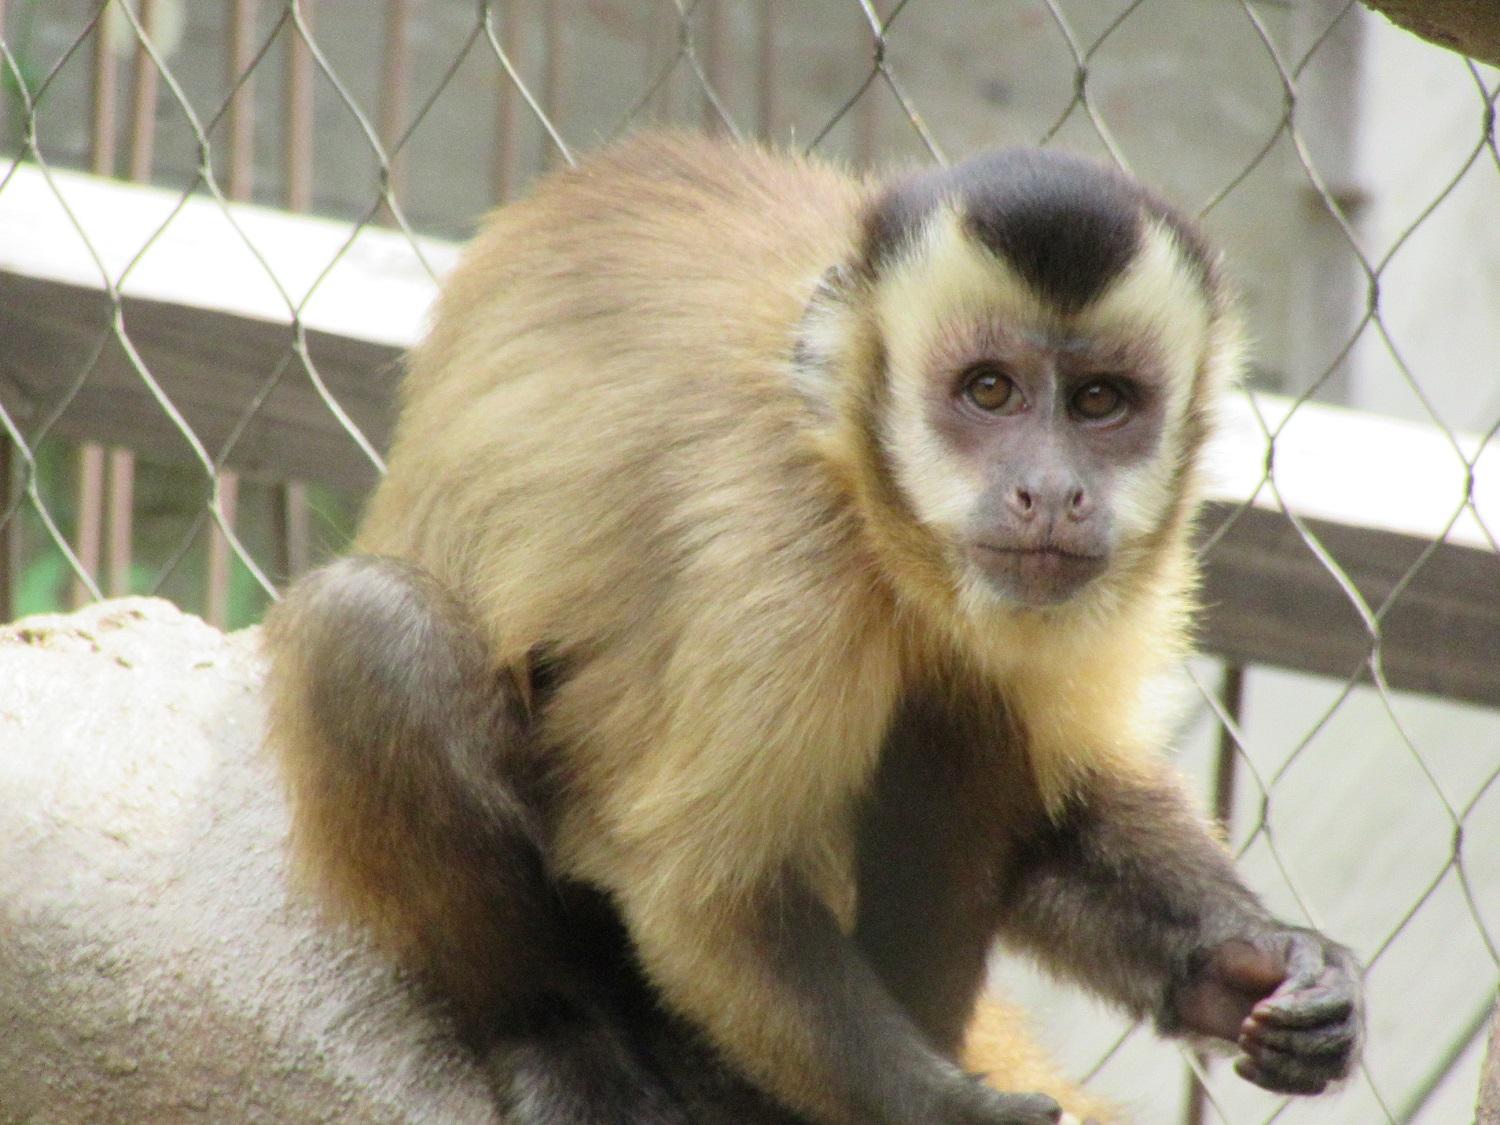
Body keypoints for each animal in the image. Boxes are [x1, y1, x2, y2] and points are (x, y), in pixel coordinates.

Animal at [264, 134, 1368, 1125]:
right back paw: (553, 1032)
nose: (1051, 491)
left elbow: (1068, 802)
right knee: (377, 632)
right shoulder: (782, 554)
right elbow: (709, 898)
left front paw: (1246, 958)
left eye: (1103, 402)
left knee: (966, 708)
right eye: (990, 390)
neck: (876, 516)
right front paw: (943, 1110)